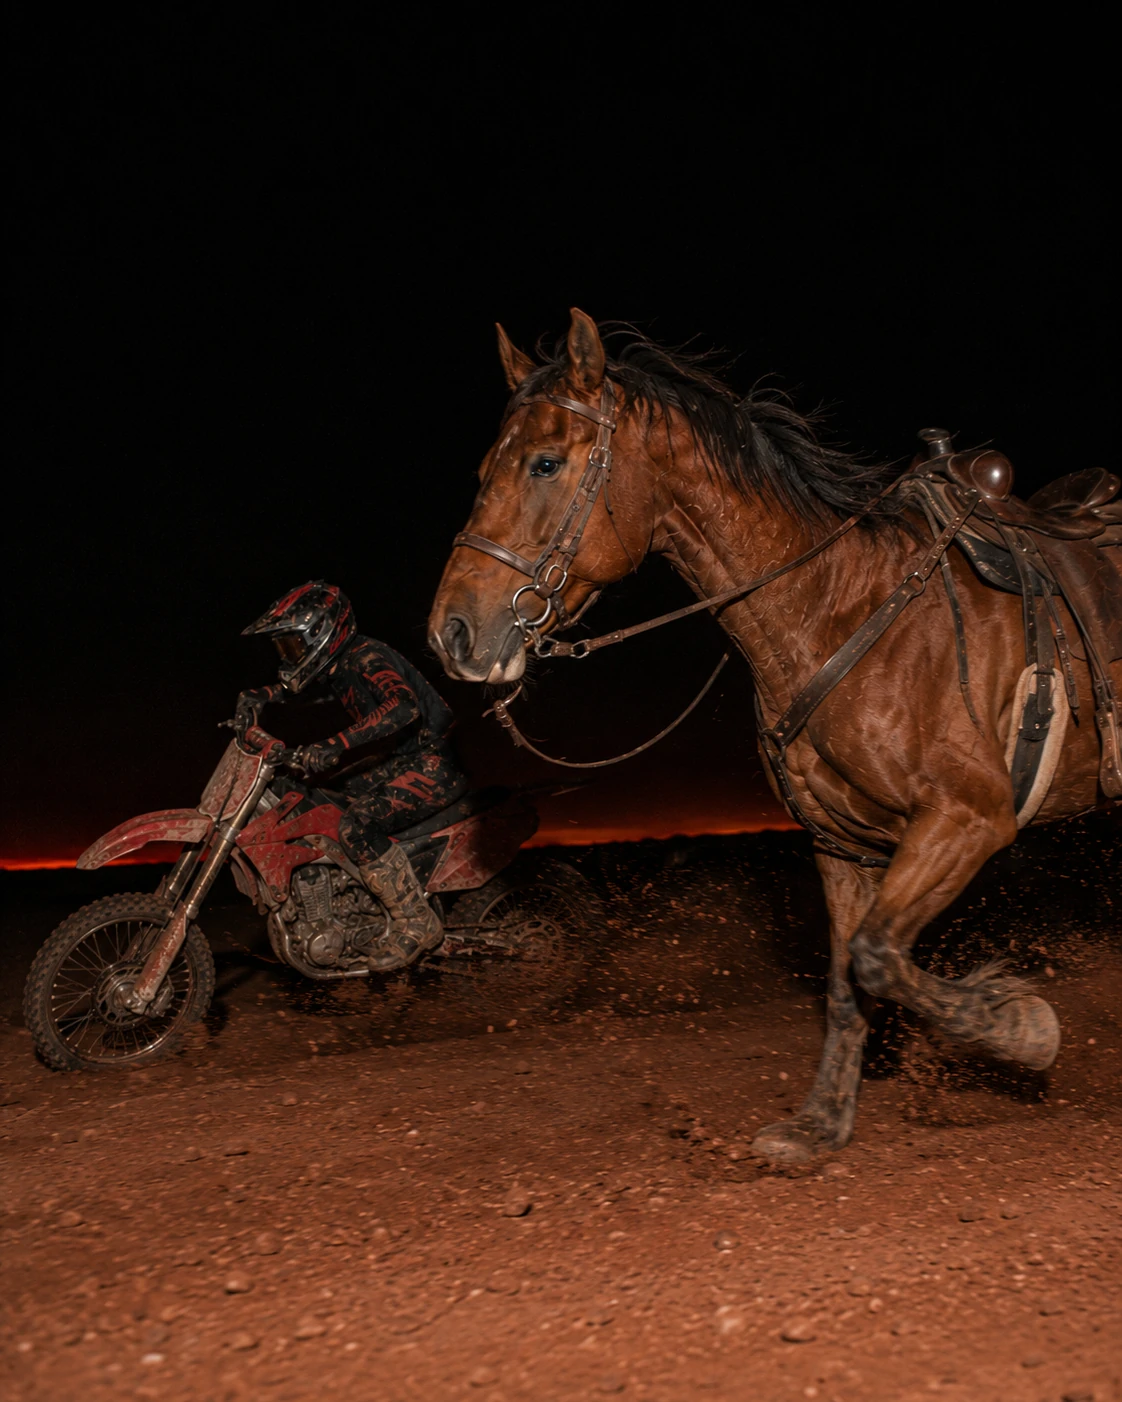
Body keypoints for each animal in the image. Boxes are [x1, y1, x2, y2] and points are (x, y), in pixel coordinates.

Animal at [428, 308, 1120, 1163]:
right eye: (488, 465)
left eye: (545, 463)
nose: (452, 631)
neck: (842, 609)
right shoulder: (842, 845)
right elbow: (849, 976)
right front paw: (821, 1123)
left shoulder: (968, 818)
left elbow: (879, 958)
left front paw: (1023, 1030)